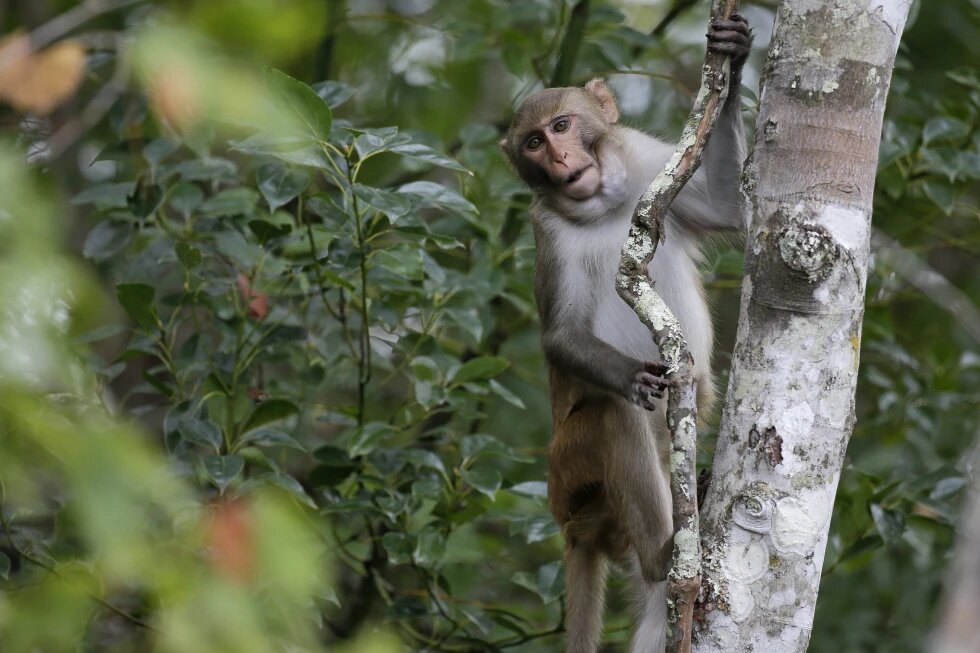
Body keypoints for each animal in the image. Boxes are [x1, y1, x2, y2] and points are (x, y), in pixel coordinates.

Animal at [502, 15, 756, 652]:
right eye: (534, 143)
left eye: (562, 125)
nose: (561, 157)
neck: (602, 203)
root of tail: (575, 525)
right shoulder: (547, 232)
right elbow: (562, 336)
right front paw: (634, 378)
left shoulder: (646, 160)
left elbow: (726, 208)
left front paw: (735, 56)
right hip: (570, 472)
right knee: (613, 418)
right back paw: (664, 557)